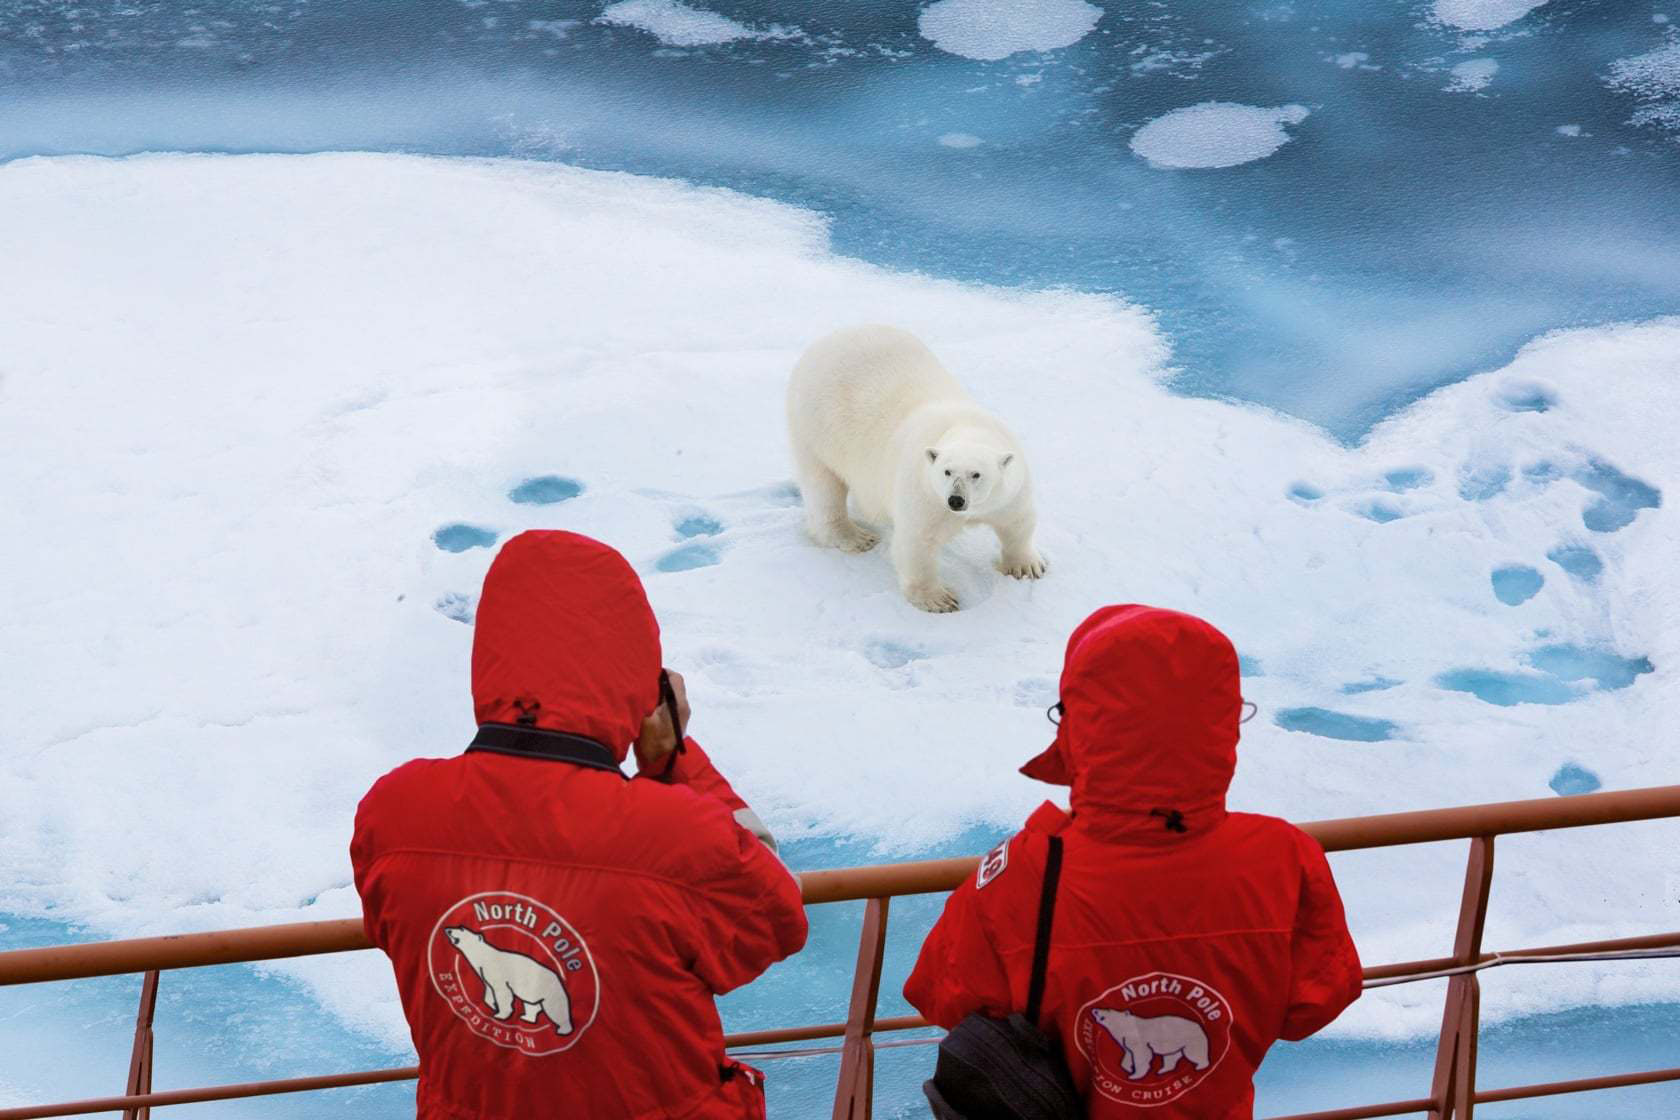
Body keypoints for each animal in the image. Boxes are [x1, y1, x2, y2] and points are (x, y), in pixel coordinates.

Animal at [443, 926, 574, 1041]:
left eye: (461, 929)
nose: (448, 930)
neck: (484, 956)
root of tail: (557, 978)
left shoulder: (496, 970)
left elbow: (502, 992)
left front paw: (500, 1014)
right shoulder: (484, 973)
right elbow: (489, 990)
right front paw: (493, 1005)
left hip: (549, 989)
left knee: (556, 1008)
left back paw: (564, 1030)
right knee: (531, 1005)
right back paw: (527, 1017)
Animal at [782, 325, 1041, 614]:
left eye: (976, 474)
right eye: (946, 471)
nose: (956, 500)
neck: (967, 425)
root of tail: (828, 340)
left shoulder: (1010, 490)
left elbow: (1018, 521)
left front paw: (1027, 566)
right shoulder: (924, 491)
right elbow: (917, 541)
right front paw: (939, 600)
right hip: (817, 426)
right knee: (823, 484)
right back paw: (855, 537)